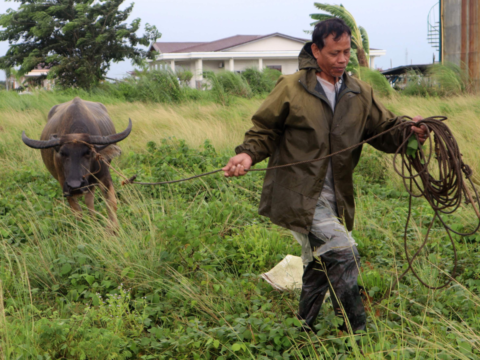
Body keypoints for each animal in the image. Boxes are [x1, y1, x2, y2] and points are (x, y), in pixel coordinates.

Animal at [21, 97, 132, 229]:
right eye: (62, 153)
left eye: (88, 152)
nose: (75, 186)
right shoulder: (64, 185)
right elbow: (77, 211)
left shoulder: (104, 176)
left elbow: (111, 203)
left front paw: (113, 229)